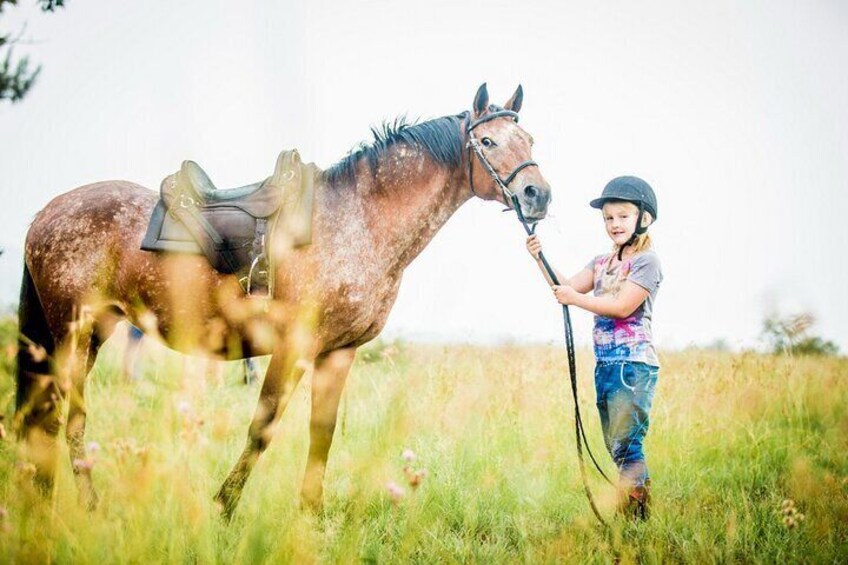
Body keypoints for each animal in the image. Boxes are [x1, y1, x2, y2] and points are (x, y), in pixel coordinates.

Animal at [18, 81, 556, 516]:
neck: (358, 219)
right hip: (72, 334)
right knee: (66, 418)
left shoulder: (339, 353)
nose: (538, 195)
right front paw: (224, 508)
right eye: (487, 141)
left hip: (95, 332)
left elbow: (322, 433)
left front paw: (311, 515)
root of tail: (48, 212)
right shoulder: (293, 347)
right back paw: (82, 504)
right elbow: (263, 428)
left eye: (529, 140)